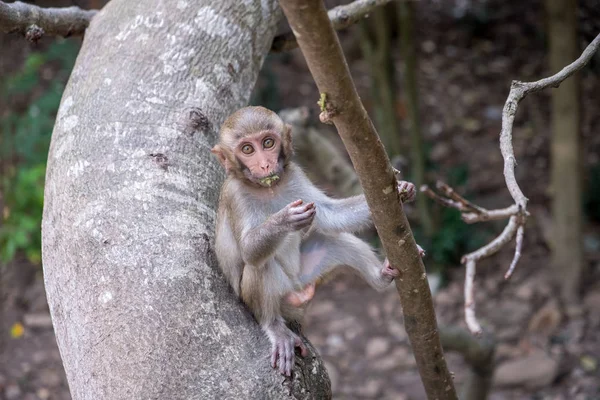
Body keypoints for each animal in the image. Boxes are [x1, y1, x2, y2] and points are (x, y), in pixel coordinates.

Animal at [213, 105, 420, 376]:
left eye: (268, 142)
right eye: (247, 149)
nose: (265, 164)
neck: (268, 188)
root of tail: (298, 294)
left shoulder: (295, 175)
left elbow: (330, 215)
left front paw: (402, 190)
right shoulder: (235, 195)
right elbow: (248, 251)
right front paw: (285, 220)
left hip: (306, 276)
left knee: (333, 241)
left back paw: (381, 277)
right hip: (279, 299)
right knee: (260, 265)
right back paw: (274, 327)